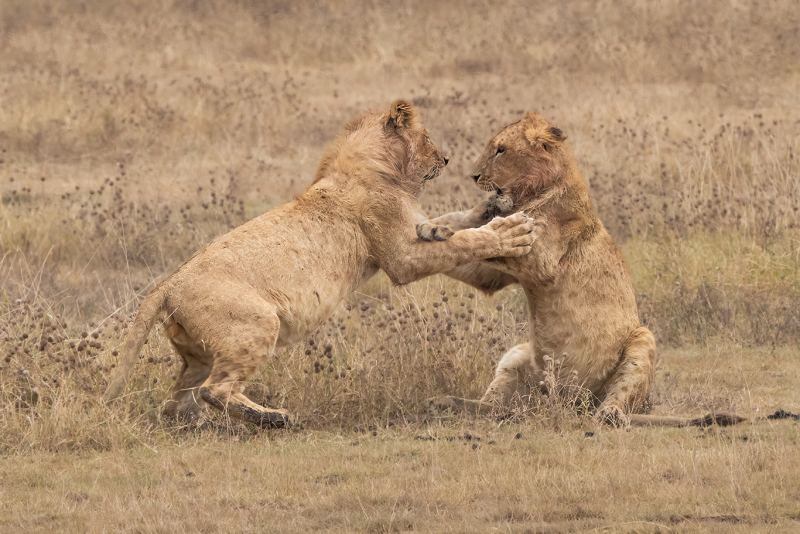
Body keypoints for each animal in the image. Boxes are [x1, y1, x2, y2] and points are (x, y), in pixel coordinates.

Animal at [102, 99, 536, 428]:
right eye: (427, 138)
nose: (446, 158)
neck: (381, 170)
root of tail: (167, 284)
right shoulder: (402, 257)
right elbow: (464, 241)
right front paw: (512, 232)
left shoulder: (416, 228)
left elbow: (456, 221)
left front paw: (492, 206)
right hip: (257, 324)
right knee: (215, 389)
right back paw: (274, 418)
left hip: (198, 355)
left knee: (176, 403)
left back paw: (202, 425)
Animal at [418, 111, 745, 428]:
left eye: (501, 150)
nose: (473, 176)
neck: (539, 190)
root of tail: (570, 404)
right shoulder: (494, 275)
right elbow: (470, 240)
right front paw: (432, 226)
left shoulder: (540, 258)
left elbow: (484, 237)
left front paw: (441, 228)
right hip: (519, 355)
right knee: (496, 408)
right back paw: (450, 404)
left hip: (642, 339)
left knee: (617, 405)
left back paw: (609, 415)